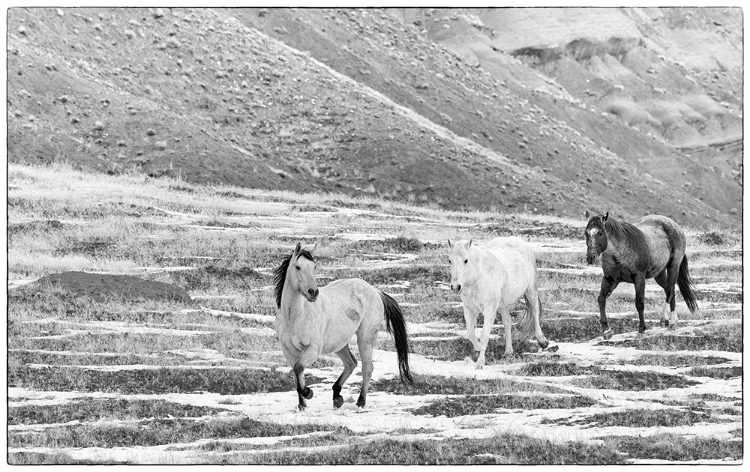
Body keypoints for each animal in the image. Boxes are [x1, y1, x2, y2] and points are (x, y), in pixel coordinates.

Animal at [274, 243, 414, 410]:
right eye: (298, 267)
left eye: (314, 266)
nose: (313, 292)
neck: (295, 316)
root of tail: (375, 291)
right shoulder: (288, 351)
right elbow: (296, 373)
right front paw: (302, 406)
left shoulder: (313, 349)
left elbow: (298, 368)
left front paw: (308, 393)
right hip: (339, 343)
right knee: (351, 363)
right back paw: (337, 396)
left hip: (365, 339)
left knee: (367, 368)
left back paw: (360, 402)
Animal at [450, 238, 548, 366]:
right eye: (450, 260)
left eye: (466, 260)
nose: (455, 287)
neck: (479, 277)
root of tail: (518, 240)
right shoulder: (468, 309)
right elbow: (470, 333)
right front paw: (478, 347)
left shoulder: (489, 310)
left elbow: (484, 335)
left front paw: (480, 362)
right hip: (503, 304)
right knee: (507, 321)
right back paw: (508, 351)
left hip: (531, 290)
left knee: (535, 311)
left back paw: (542, 341)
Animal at [584, 211, 704, 340]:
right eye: (586, 233)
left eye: (600, 233)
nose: (590, 258)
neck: (619, 253)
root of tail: (675, 226)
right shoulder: (609, 279)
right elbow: (601, 299)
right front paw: (606, 330)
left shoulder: (639, 278)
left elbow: (639, 303)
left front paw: (641, 329)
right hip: (659, 274)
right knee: (669, 289)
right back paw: (673, 322)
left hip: (673, 266)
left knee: (670, 290)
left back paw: (665, 319)